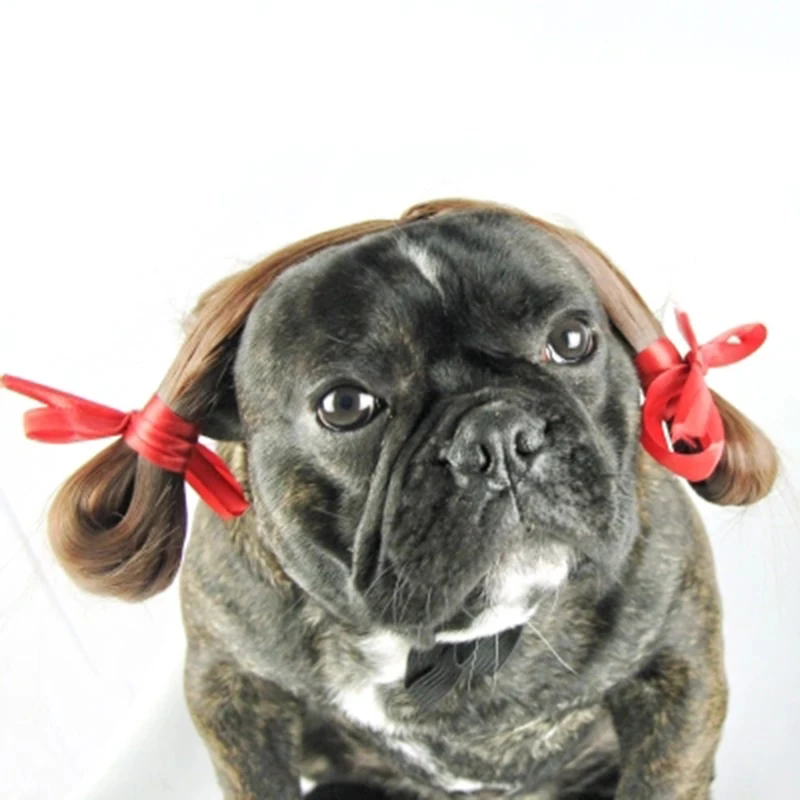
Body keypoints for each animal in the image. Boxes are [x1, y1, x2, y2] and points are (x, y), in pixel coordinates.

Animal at [10, 200, 776, 798]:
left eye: (572, 340)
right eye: (345, 405)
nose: (499, 435)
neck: (454, 641)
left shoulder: (676, 665)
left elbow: (663, 775)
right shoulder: (232, 688)